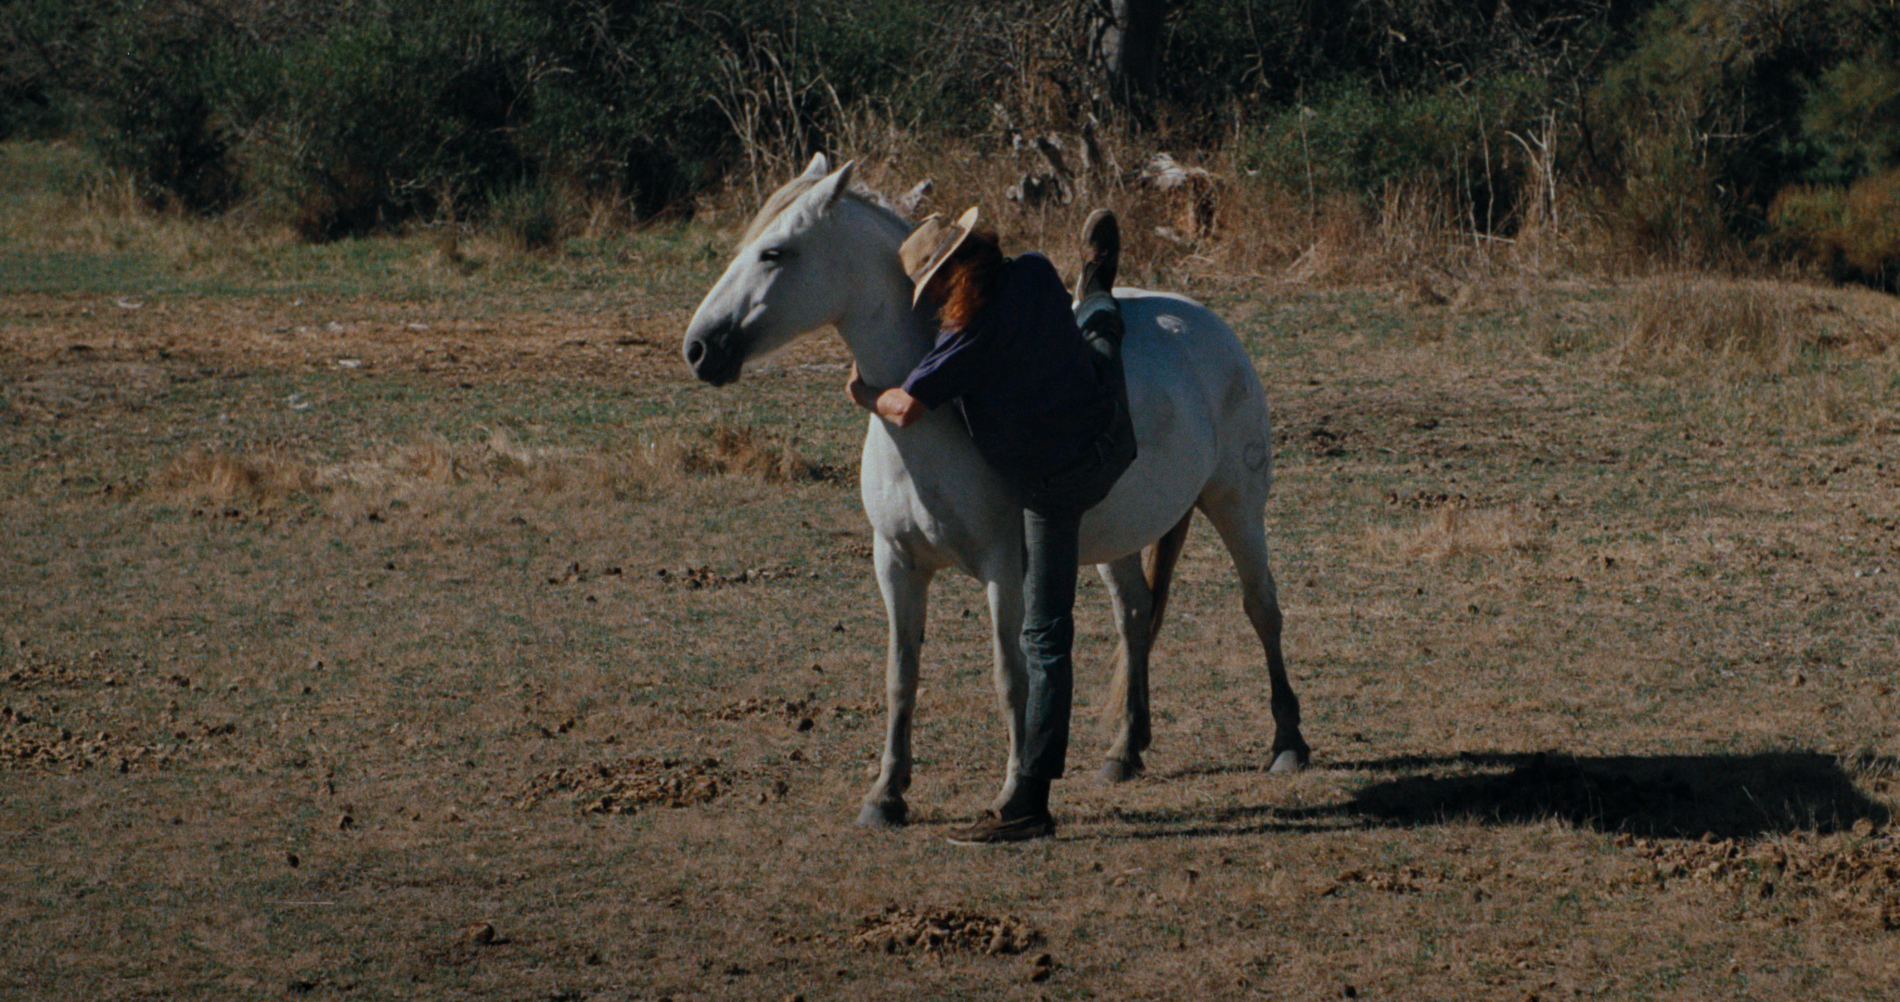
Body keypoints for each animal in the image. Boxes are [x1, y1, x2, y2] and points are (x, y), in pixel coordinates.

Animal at [682, 154, 1307, 828]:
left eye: (774, 252)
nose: (699, 348)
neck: (927, 417)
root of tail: (1206, 322)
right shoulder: (895, 564)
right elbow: (900, 676)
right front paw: (886, 795)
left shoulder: (1003, 570)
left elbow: (1012, 678)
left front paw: (1012, 794)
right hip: (1113, 539)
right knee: (1137, 616)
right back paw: (1125, 751)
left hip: (1236, 505)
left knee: (1261, 609)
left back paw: (1288, 743)